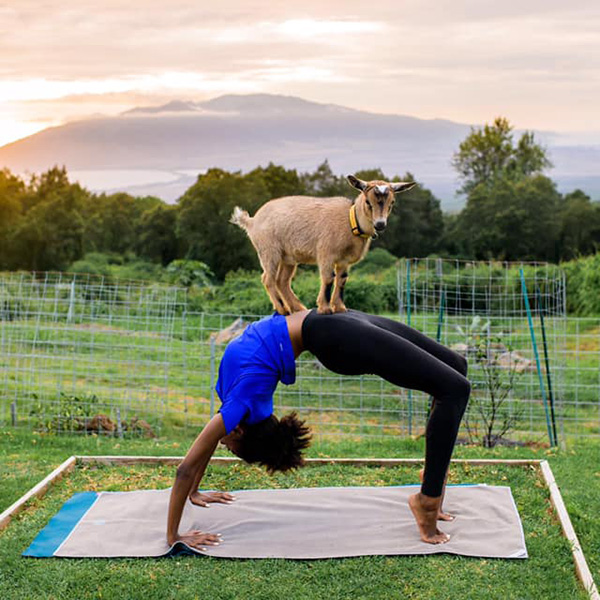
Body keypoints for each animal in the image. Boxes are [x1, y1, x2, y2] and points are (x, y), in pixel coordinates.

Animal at [230, 173, 418, 314]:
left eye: (392, 203)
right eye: (368, 202)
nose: (380, 224)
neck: (350, 221)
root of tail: (252, 221)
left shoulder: (344, 260)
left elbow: (341, 280)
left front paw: (340, 307)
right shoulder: (326, 253)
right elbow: (328, 278)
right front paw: (325, 308)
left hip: (288, 257)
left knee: (282, 281)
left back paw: (298, 308)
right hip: (269, 250)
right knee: (268, 279)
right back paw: (283, 309)